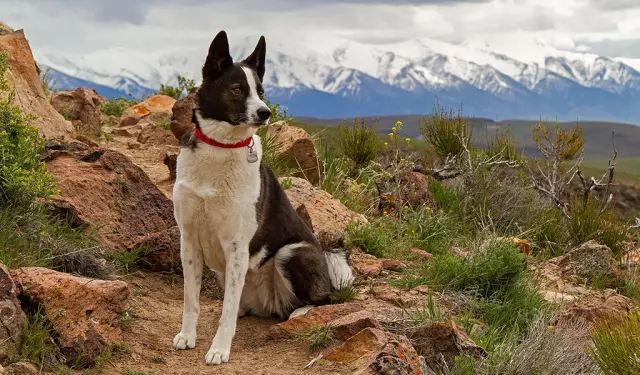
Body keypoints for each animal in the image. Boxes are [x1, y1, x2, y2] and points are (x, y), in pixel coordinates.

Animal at [172, 30, 352, 366]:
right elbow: (192, 300)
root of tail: (272, 305)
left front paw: (219, 349)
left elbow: (226, 312)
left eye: (261, 91)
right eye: (237, 89)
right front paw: (188, 336)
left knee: (323, 300)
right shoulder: (189, 241)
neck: (221, 148)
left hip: (292, 253)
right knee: (242, 304)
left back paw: (300, 312)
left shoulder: (236, 247)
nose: (265, 113)